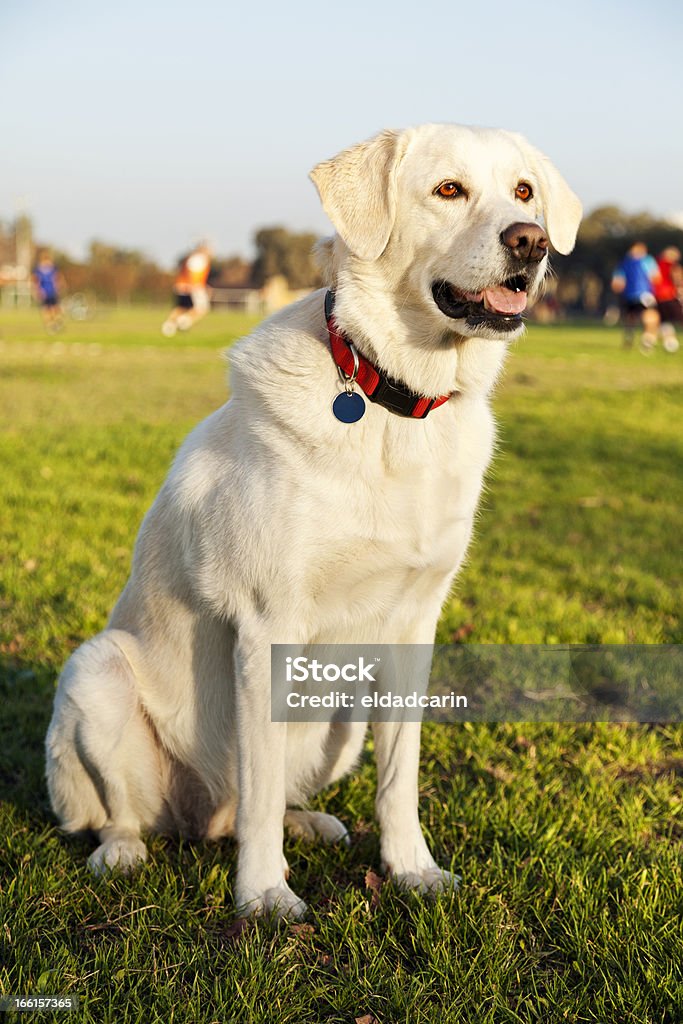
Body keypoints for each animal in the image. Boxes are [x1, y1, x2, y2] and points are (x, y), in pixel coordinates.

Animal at [46, 123, 581, 917]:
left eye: (523, 192)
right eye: (448, 190)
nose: (531, 241)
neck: (396, 403)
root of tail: (197, 816)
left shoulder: (412, 628)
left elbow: (398, 780)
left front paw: (410, 869)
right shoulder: (270, 626)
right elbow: (262, 789)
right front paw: (265, 897)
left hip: (342, 721)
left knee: (251, 806)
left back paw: (311, 824)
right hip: (97, 672)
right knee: (138, 813)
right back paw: (124, 852)